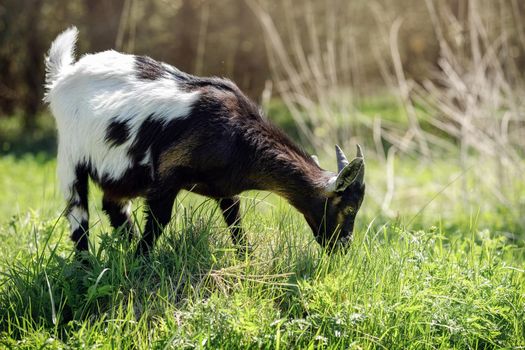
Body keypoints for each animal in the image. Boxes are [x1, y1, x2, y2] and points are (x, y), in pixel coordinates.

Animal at [44, 26, 364, 254]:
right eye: (347, 208)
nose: (343, 248)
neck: (238, 136)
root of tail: (63, 76)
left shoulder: (224, 187)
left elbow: (235, 220)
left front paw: (246, 260)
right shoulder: (167, 175)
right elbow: (158, 222)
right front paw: (141, 263)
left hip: (122, 174)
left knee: (113, 206)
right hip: (71, 159)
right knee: (78, 218)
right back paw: (86, 267)